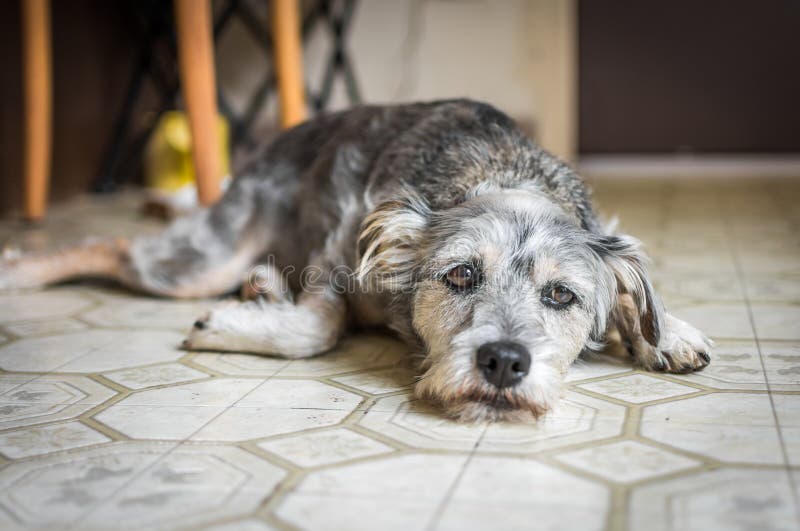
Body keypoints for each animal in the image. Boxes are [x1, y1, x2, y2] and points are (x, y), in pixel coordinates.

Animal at [0, 100, 712, 422]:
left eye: (561, 296)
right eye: (460, 275)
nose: (504, 362)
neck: (502, 172)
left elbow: (638, 296)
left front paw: (666, 332)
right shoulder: (337, 253)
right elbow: (318, 326)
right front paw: (232, 326)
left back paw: (262, 287)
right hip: (200, 260)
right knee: (114, 245)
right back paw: (18, 269)